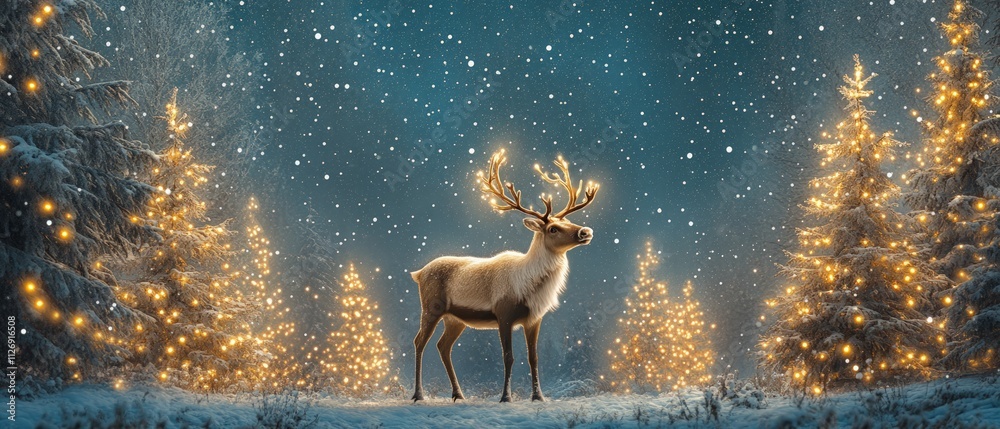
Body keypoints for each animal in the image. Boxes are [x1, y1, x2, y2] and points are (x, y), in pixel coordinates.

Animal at [409, 150, 599, 403]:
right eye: (553, 229)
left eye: (568, 221)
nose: (585, 232)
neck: (530, 287)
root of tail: (418, 273)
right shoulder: (504, 314)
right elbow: (508, 357)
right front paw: (506, 397)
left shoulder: (534, 319)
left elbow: (533, 358)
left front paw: (538, 397)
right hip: (431, 307)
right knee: (419, 342)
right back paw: (419, 394)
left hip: (455, 318)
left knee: (443, 346)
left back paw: (458, 394)